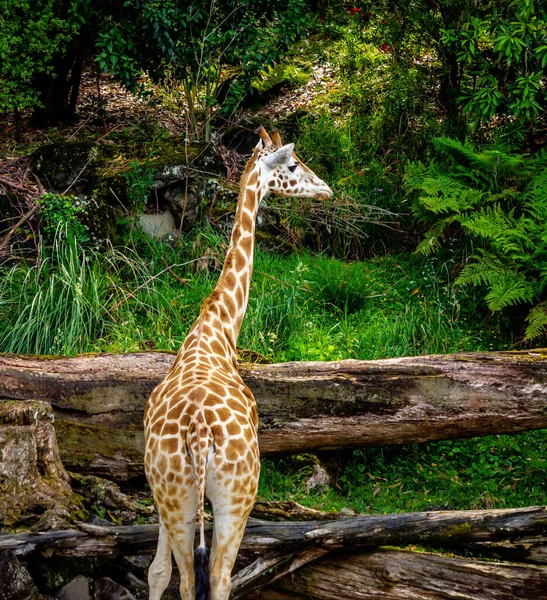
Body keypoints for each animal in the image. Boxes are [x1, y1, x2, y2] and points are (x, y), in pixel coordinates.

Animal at [144, 126, 334, 600]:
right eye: (293, 165)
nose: (326, 189)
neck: (216, 330)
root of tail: (198, 436)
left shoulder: (155, 492)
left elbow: (156, 570)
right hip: (238, 497)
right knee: (216, 577)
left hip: (177, 495)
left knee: (187, 575)